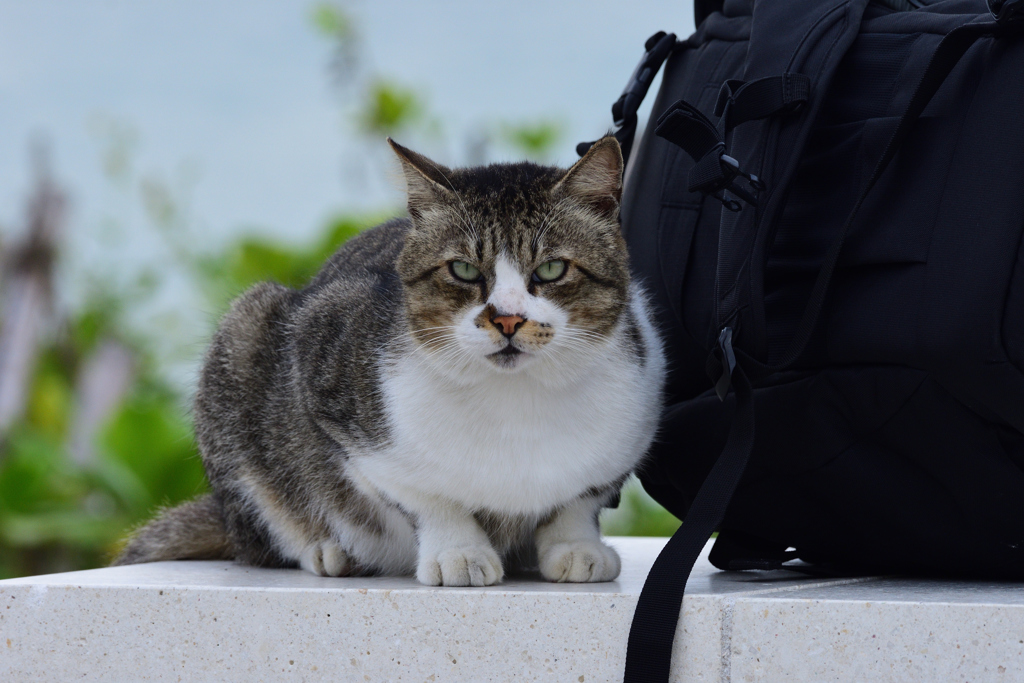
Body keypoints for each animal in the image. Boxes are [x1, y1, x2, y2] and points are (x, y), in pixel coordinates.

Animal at [114, 137, 663, 589]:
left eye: (550, 269)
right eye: (463, 269)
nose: (507, 319)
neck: (516, 404)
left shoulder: (633, 418)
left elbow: (579, 498)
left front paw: (576, 546)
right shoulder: (333, 392)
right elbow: (425, 495)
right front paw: (458, 551)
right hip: (244, 332)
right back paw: (332, 550)